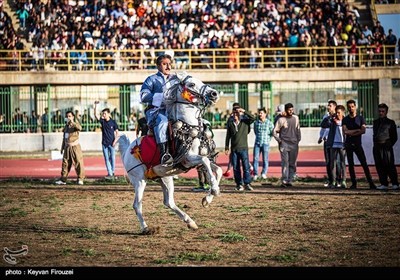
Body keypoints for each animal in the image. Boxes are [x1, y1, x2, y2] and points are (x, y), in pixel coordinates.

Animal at [117, 72, 223, 234]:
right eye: (192, 84)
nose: (214, 93)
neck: (187, 127)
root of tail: (127, 152)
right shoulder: (188, 159)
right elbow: (205, 161)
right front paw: (215, 190)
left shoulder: (197, 160)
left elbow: (218, 170)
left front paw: (208, 198)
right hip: (139, 180)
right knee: (137, 204)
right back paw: (146, 228)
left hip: (165, 178)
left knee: (168, 202)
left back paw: (190, 222)